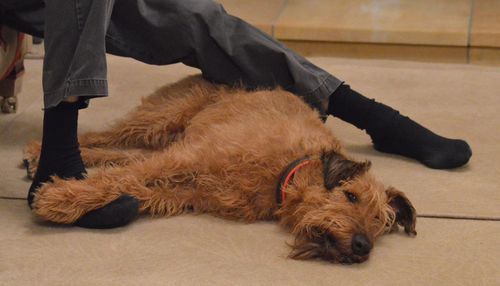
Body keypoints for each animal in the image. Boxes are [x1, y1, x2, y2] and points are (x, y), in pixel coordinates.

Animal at [23, 75, 416, 264]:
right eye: (350, 196)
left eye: (380, 223)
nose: (363, 246)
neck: (286, 170)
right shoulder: (188, 157)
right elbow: (121, 179)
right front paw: (59, 199)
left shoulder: (186, 190)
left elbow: (133, 184)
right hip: (161, 118)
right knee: (107, 137)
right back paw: (37, 152)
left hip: (166, 137)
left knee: (123, 155)